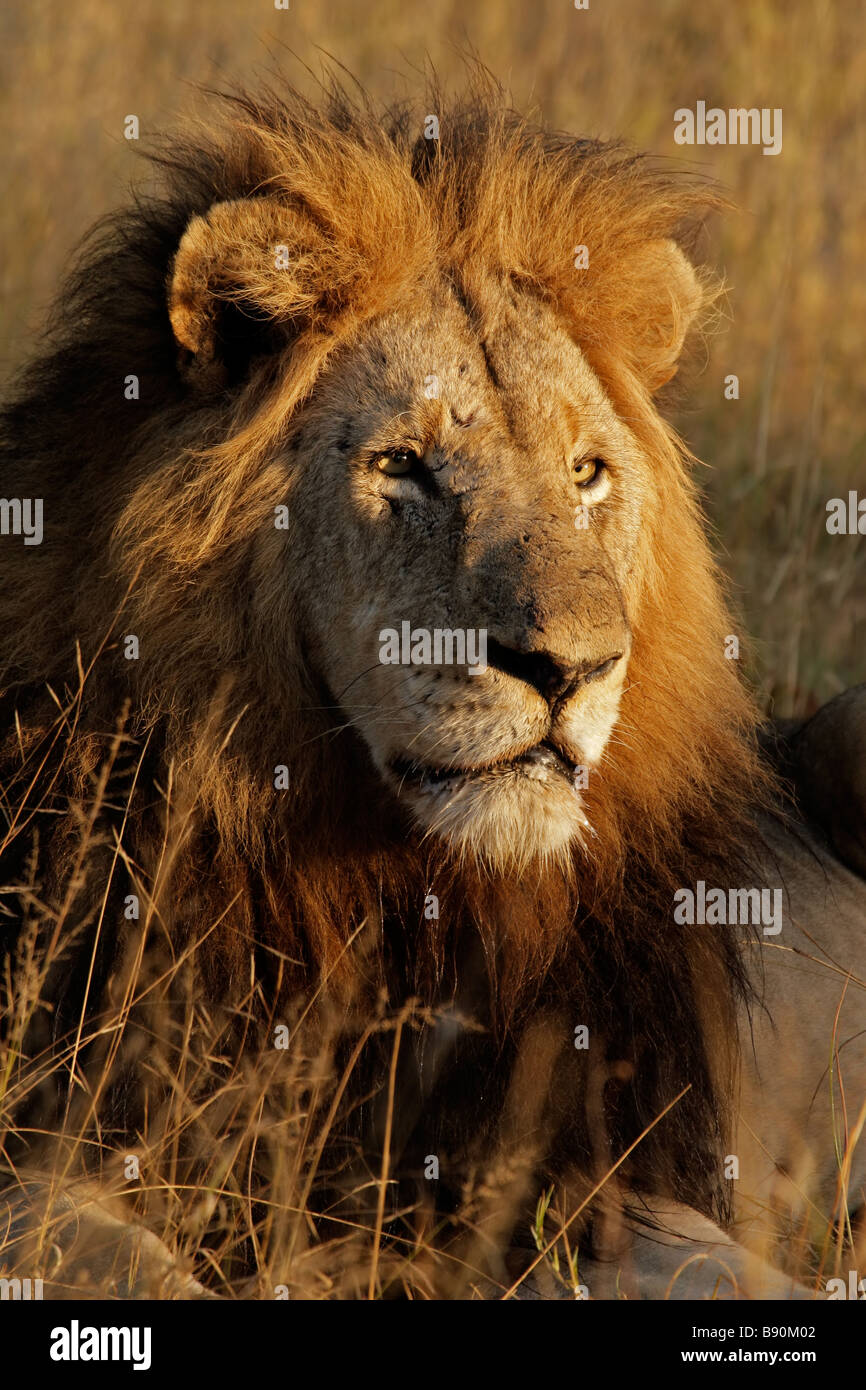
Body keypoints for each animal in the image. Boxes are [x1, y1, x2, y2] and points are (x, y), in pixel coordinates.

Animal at [1, 78, 866, 1301]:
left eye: (585, 473)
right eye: (402, 466)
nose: (573, 668)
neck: (389, 890)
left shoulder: (594, 1172)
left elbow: (715, 1262)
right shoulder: (66, 1131)